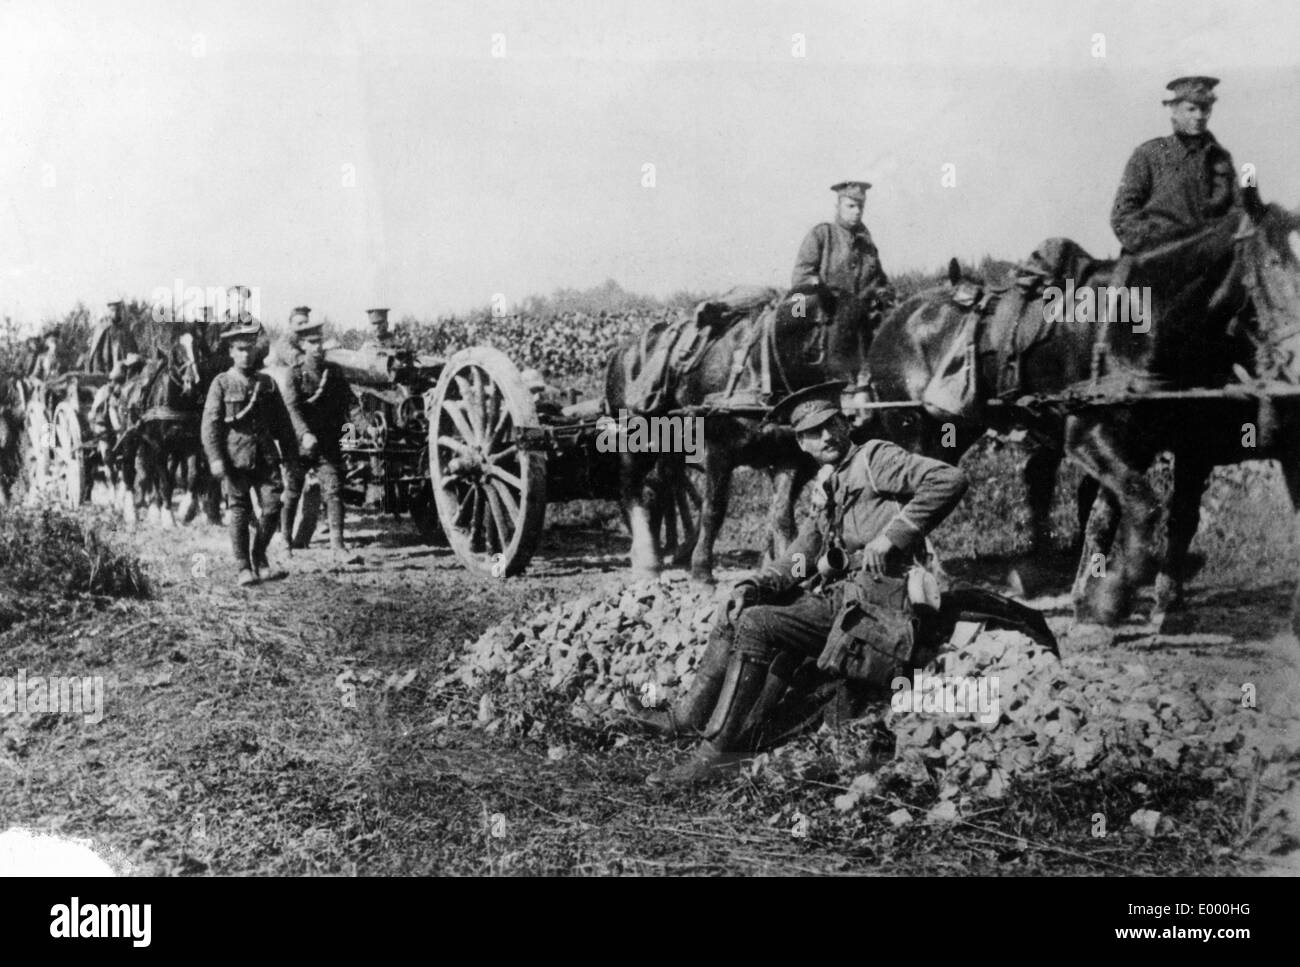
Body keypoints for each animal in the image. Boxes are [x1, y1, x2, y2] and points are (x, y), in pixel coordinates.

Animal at [122, 321, 226, 525]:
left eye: (198, 348)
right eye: (176, 352)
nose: (193, 381)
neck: (176, 402)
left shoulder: (189, 444)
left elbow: (192, 476)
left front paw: (185, 510)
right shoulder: (160, 446)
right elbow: (165, 481)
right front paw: (168, 517)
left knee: (151, 472)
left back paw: (154, 508)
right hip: (132, 439)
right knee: (130, 469)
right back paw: (131, 512)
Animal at [605, 282, 883, 582]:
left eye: (871, 335)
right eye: (841, 336)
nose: (864, 413)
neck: (761, 369)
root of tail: (621, 351)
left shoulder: (787, 458)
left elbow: (782, 515)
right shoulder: (718, 450)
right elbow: (713, 509)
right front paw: (702, 572)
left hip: (671, 444)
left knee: (660, 486)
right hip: (634, 437)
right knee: (631, 487)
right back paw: (646, 559)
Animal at [863, 194, 1300, 631]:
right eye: (1274, 262)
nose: (1294, 363)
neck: (1141, 325)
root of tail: (893, 319)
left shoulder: (1171, 446)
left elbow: (1139, 515)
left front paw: (1137, 601)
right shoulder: (1093, 437)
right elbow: (1141, 508)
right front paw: (1110, 598)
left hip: (955, 430)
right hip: (913, 427)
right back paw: (935, 577)